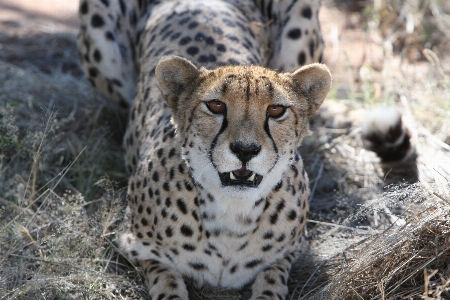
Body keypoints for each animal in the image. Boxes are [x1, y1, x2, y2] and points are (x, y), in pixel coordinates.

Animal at [77, 1, 330, 298]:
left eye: (276, 110)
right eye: (216, 106)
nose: (245, 150)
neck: (233, 213)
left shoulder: (291, 251)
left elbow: (271, 281)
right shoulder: (136, 245)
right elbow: (167, 282)